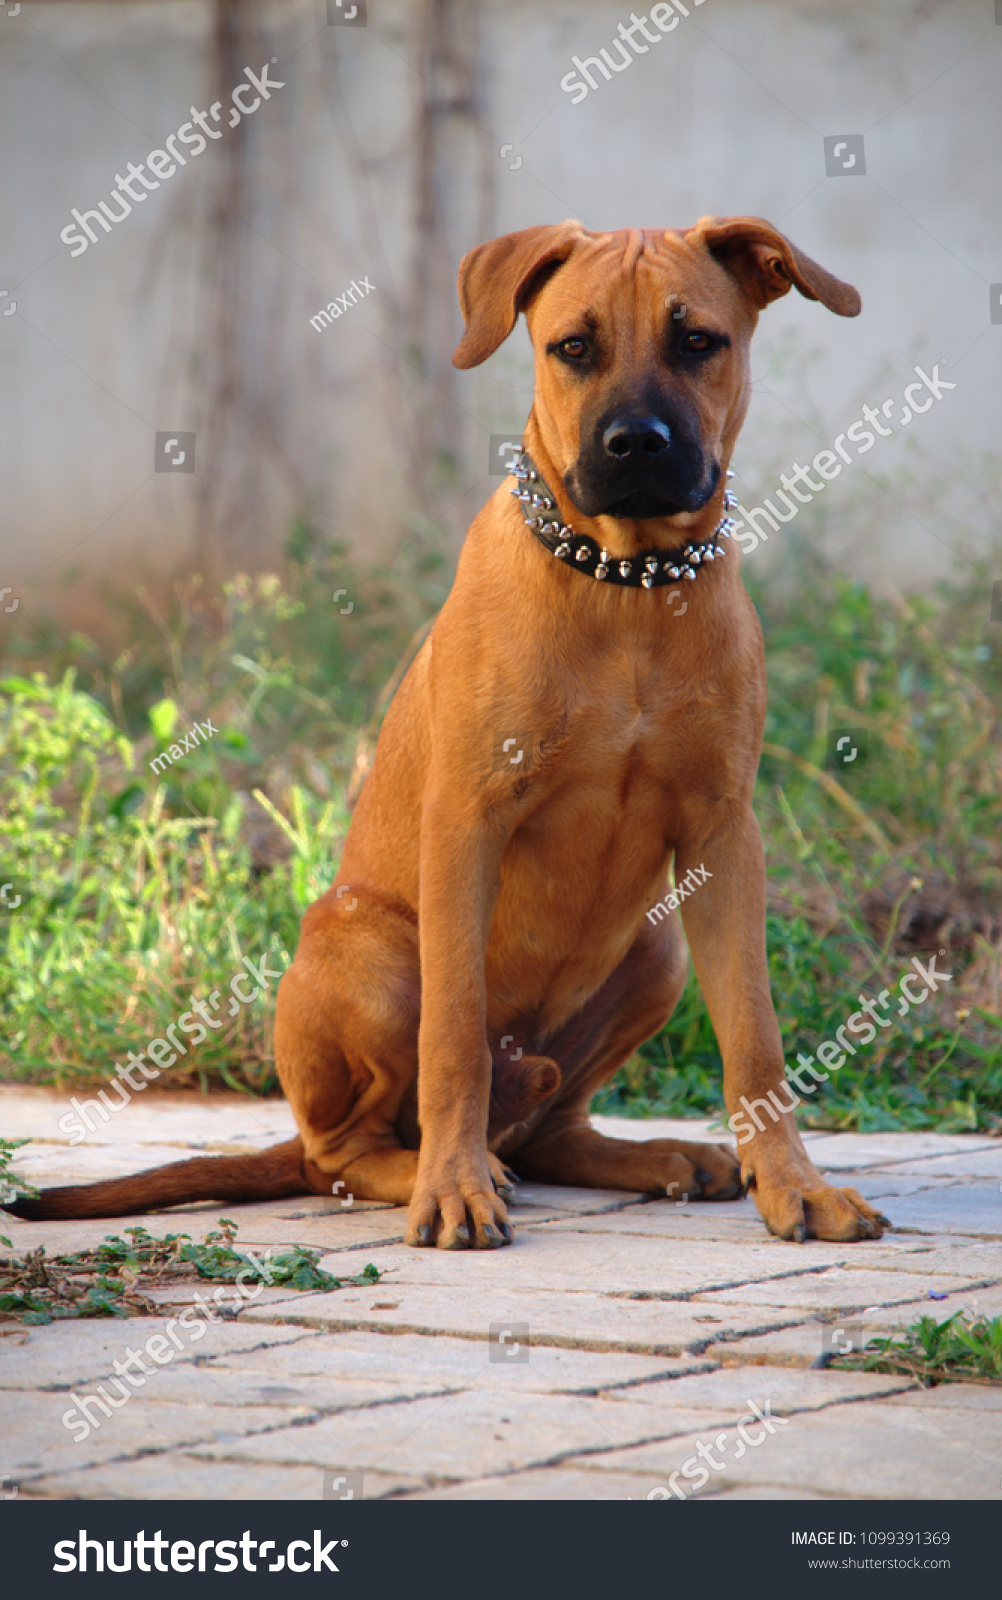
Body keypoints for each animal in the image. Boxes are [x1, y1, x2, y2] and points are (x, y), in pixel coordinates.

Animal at [13, 219, 883, 1248]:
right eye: (573, 347)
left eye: (698, 342)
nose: (635, 444)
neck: (623, 583)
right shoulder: (470, 821)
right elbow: (455, 1038)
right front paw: (455, 1189)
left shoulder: (723, 832)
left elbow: (756, 1037)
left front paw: (793, 1185)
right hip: (368, 948)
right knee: (342, 1154)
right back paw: (440, 1169)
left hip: (658, 953)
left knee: (550, 1125)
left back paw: (657, 1159)